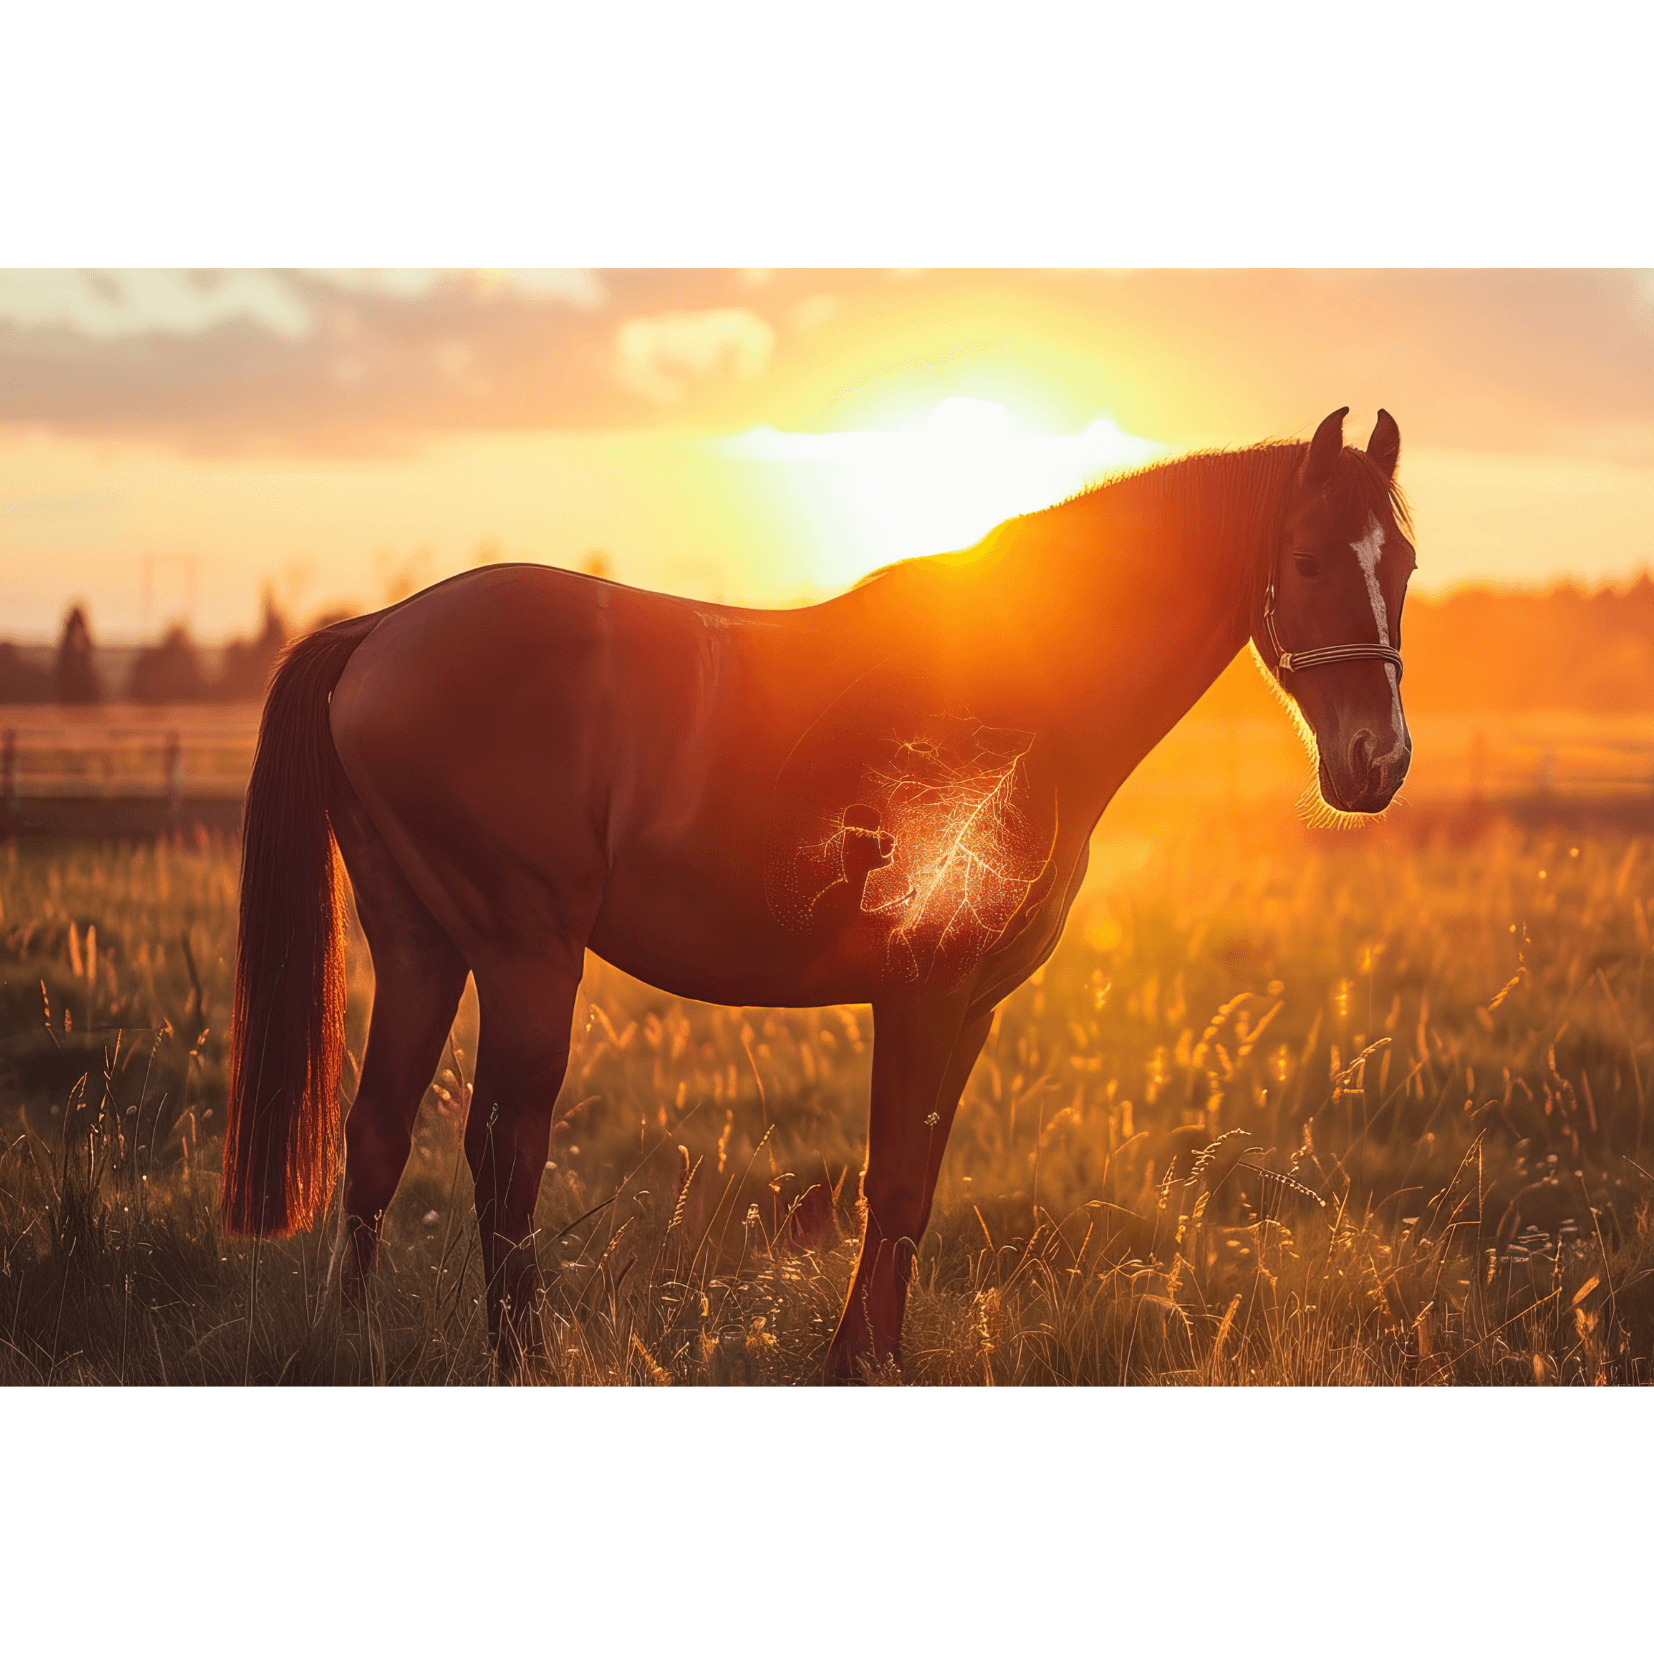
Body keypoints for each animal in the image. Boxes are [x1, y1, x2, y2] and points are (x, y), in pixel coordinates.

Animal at [219, 406, 1415, 1376]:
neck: (1023, 684)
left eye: (1401, 562)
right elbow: (894, 1183)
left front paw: (872, 1351)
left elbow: (917, 1183)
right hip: (524, 958)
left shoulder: (970, 1010)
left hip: (420, 944)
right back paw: (523, 1359)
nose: (1378, 762)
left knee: (378, 1134)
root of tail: (381, 631)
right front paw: (859, 1360)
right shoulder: (921, 994)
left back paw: (355, 1341)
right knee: (503, 1151)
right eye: (1309, 558)